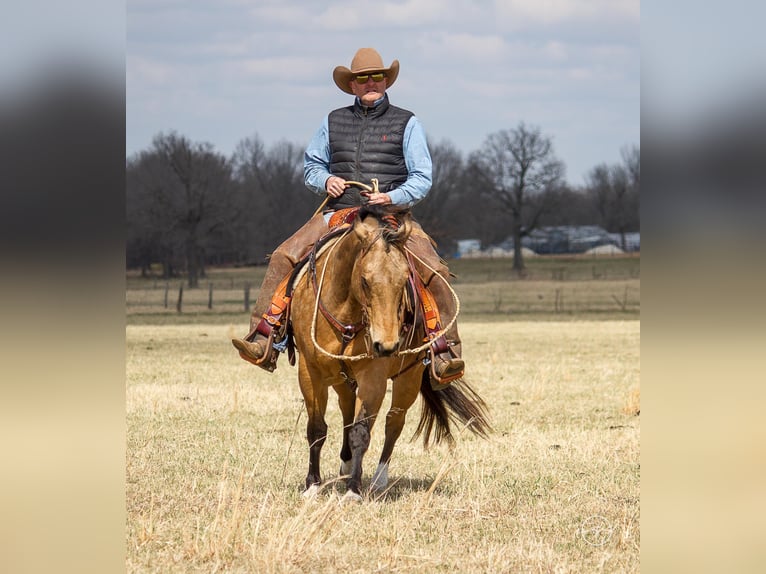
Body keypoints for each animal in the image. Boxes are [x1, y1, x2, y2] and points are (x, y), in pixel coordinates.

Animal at [286, 205, 492, 502]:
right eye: (364, 280)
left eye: (404, 278)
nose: (387, 345)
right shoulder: (310, 371)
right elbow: (316, 428)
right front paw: (312, 485)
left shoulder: (374, 377)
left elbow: (362, 431)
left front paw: (353, 491)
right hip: (342, 380)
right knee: (347, 412)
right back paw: (346, 465)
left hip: (409, 379)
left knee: (393, 423)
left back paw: (378, 479)